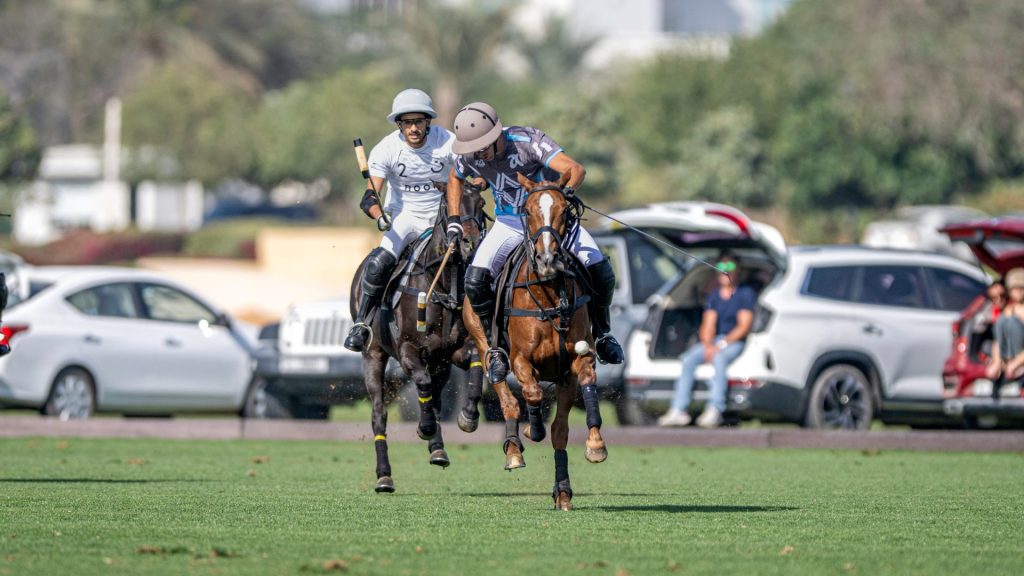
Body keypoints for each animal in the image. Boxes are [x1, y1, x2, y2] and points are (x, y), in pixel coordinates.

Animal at [350, 183, 487, 493]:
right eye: (448, 204)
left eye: (482, 203)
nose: (470, 244)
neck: (444, 284)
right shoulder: (407, 350)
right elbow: (421, 383)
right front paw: (423, 428)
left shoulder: (454, 351)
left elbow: (475, 363)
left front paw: (468, 417)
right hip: (373, 354)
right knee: (379, 414)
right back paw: (384, 476)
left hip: (440, 364)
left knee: (434, 400)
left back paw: (438, 449)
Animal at [462, 171, 608, 511]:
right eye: (527, 211)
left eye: (564, 211)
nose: (547, 259)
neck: (549, 293)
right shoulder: (520, 359)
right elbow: (531, 393)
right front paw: (532, 428)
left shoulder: (576, 362)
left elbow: (572, 411)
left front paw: (594, 446)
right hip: (483, 340)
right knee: (507, 395)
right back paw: (514, 447)